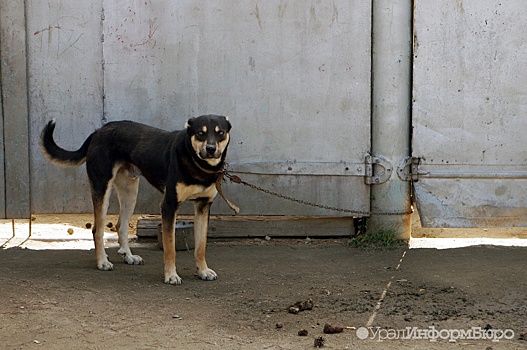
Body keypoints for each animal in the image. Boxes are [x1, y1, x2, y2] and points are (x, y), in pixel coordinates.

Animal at [42, 115, 236, 284]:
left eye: (220, 132)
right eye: (200, 133)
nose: (210, 149)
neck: (196, 162)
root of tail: (98, 131)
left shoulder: (203, 205)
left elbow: (201, 246)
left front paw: (203, 271)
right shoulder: (169, 205)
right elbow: (170, 248)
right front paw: (171, 275)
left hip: (130, 192)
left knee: (120, 226)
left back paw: (128, 256)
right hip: (102, 187)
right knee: (98, 229)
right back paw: (102, 262)